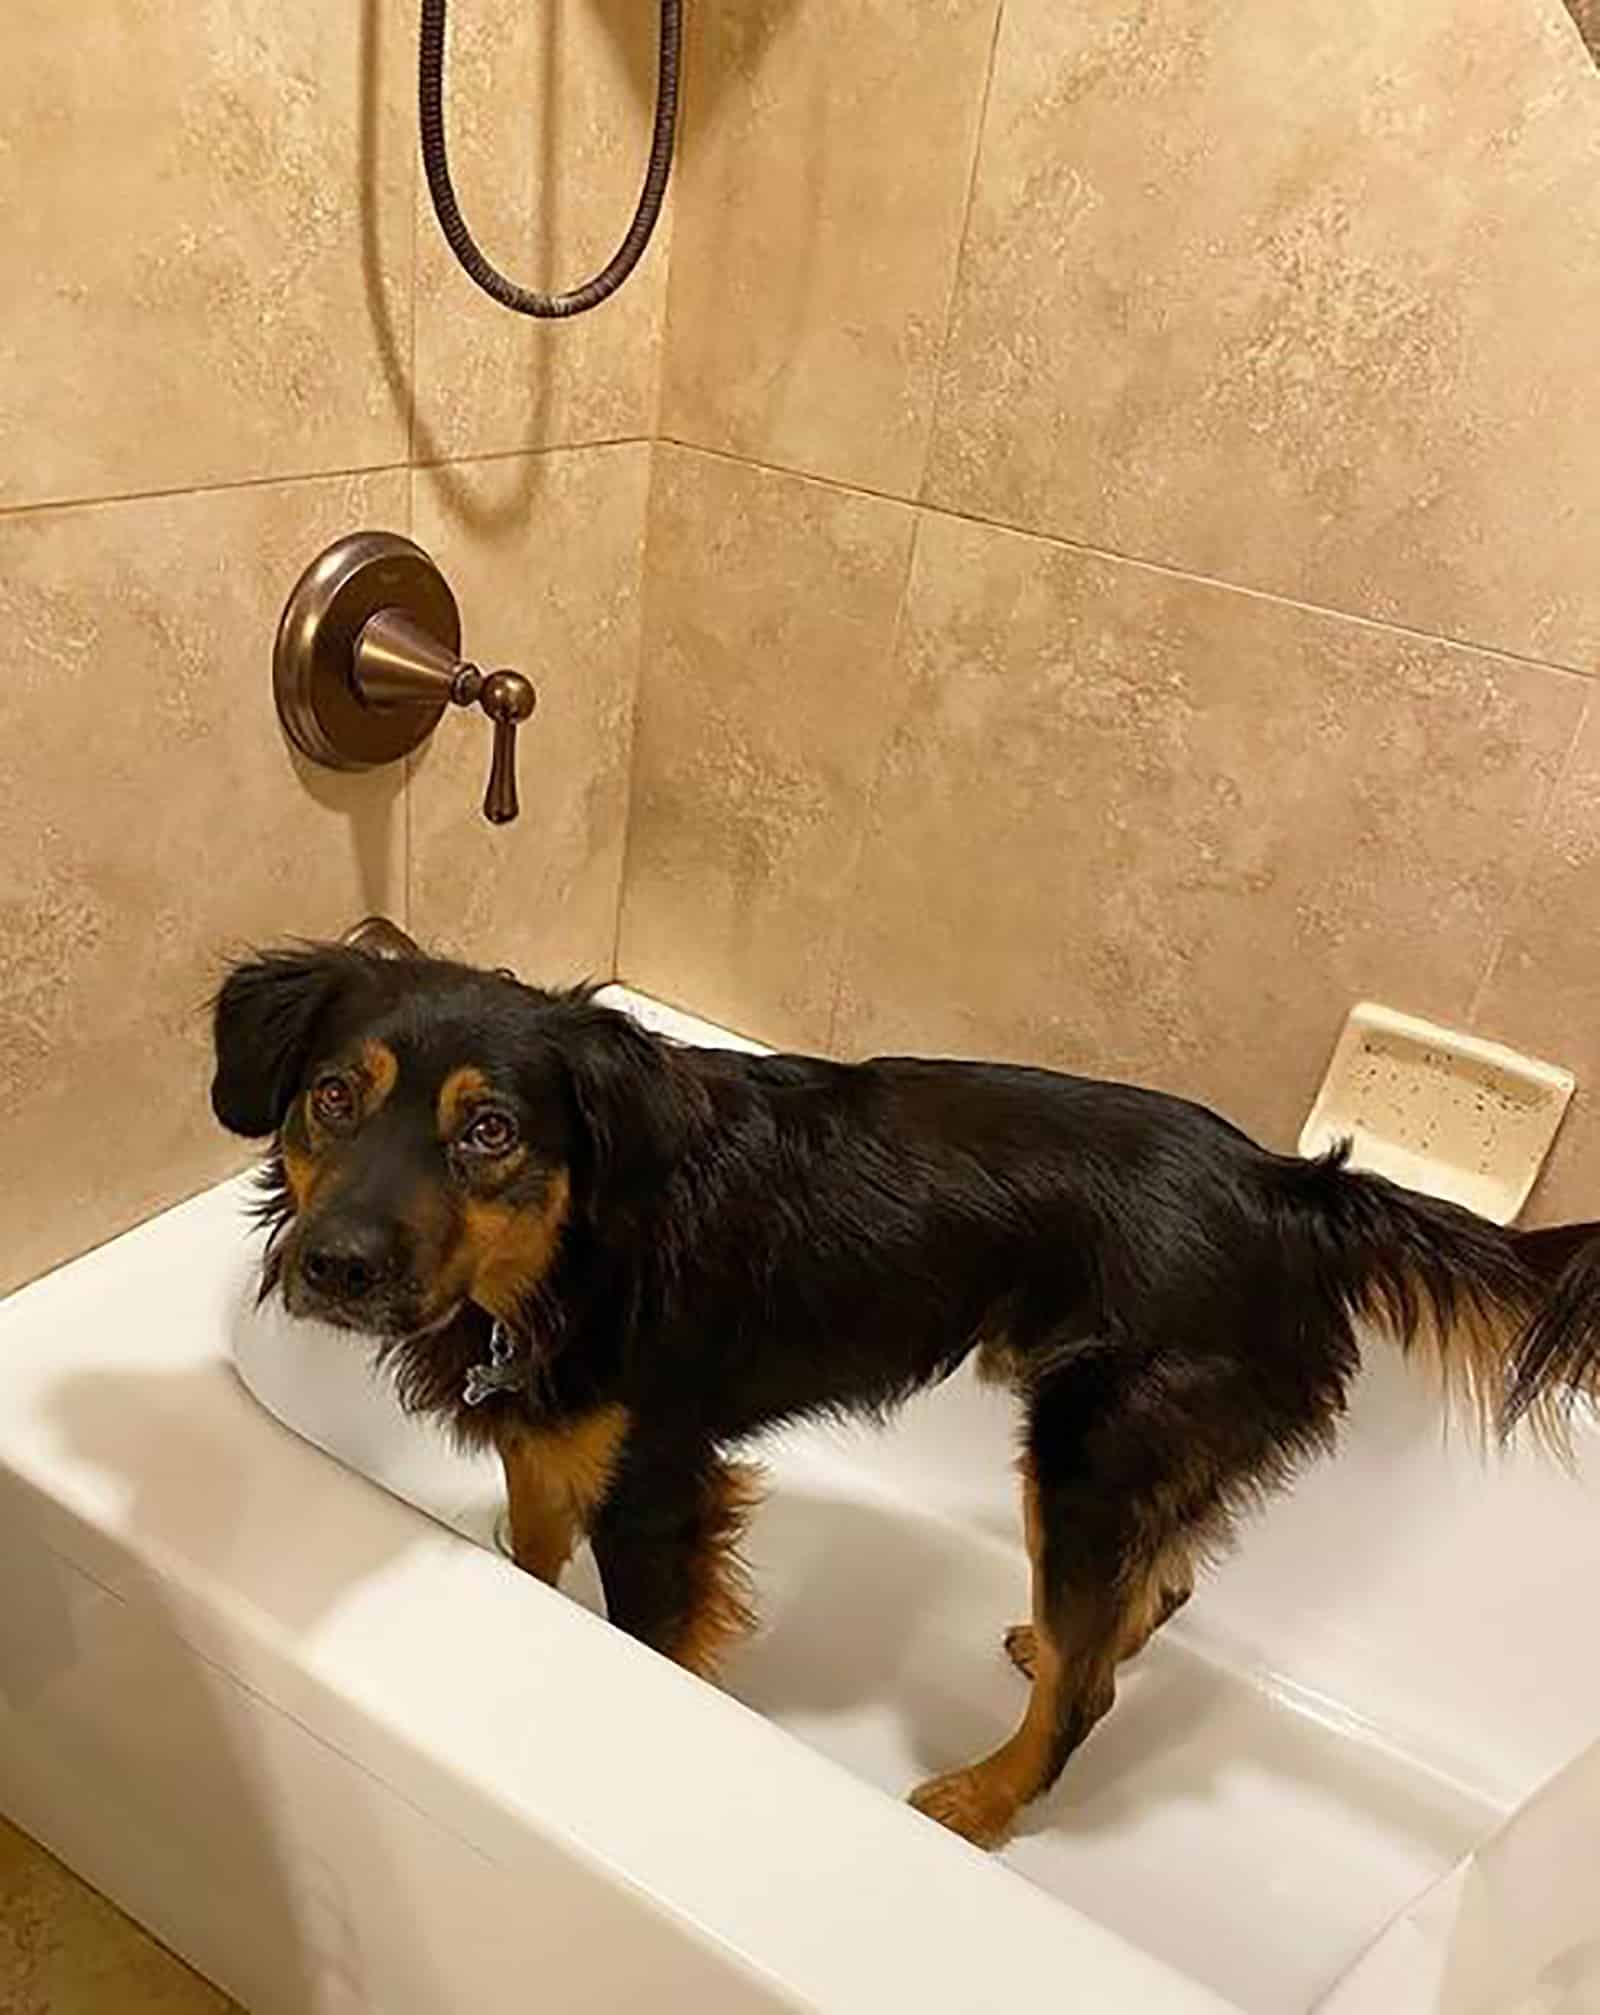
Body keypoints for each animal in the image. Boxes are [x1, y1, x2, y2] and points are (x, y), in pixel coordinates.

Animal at [211, 934, 1595, 1845]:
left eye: (489, 1129)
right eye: (332, 1096)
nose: (333, 1266)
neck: (564, 1251)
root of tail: (1295, 1189)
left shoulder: (657, 1482)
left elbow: (644, 1631)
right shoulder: (548, 1435)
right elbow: (533, 1552)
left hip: (1092, 1451)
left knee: (1091, 1686)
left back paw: (981, 1799)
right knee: (1160, 1589)